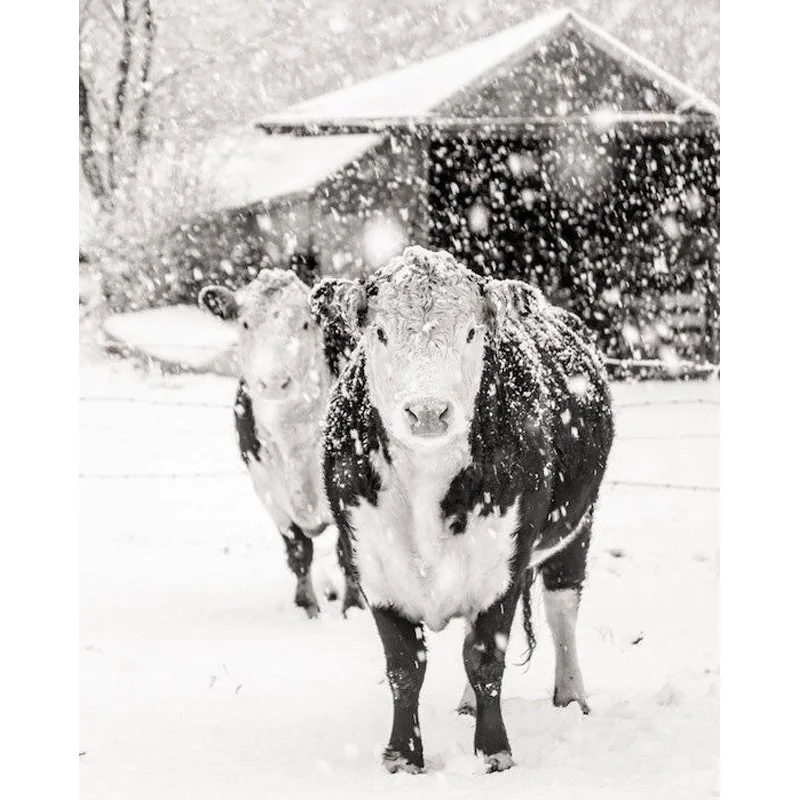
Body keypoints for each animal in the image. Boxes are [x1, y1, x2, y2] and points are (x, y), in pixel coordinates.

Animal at [199, 268, 364, 618]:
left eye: (304, 325)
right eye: (245, 323)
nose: (274, 383)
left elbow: (348, 552)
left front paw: (352, 607)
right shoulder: (268, 490)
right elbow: (299, 550)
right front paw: (307, 607)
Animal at [312, 246, 614, 774]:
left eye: (471, 332)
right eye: (380, 331)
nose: (429, 412)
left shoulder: (502, 562)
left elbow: (485, 658)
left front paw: (493, 752)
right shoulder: (373, 564)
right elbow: (405, 665)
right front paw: (402, 756)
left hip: (578, 526)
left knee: (562, 611)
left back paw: (572, 695)